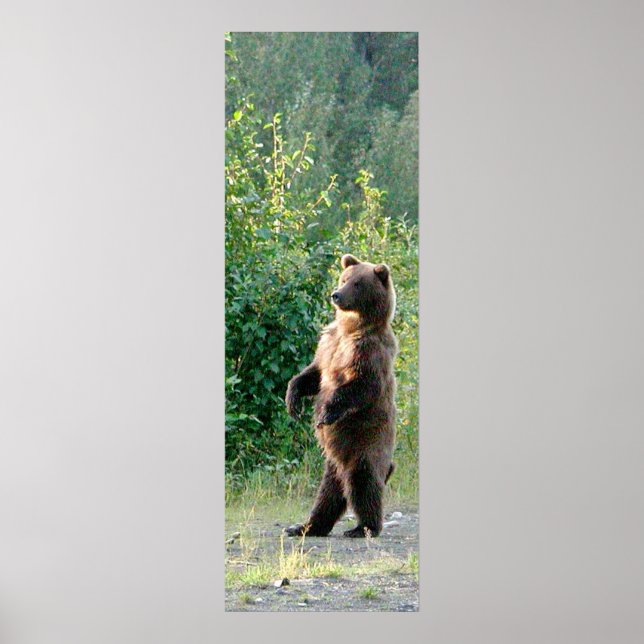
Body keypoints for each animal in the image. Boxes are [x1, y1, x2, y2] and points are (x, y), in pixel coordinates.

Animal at [284, 253, 398, 538]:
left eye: (358, 283)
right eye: (344, 278)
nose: (336, 295)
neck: (351, 328)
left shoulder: (368, 351)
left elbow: (360, 385)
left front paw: (325, 413)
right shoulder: (329, 343)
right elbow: (314, 374)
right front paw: (293, 399)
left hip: (365, 444)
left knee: (364, 481)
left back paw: (363, 527)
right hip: (333, 462)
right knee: (328, 492)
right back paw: (305, 526)